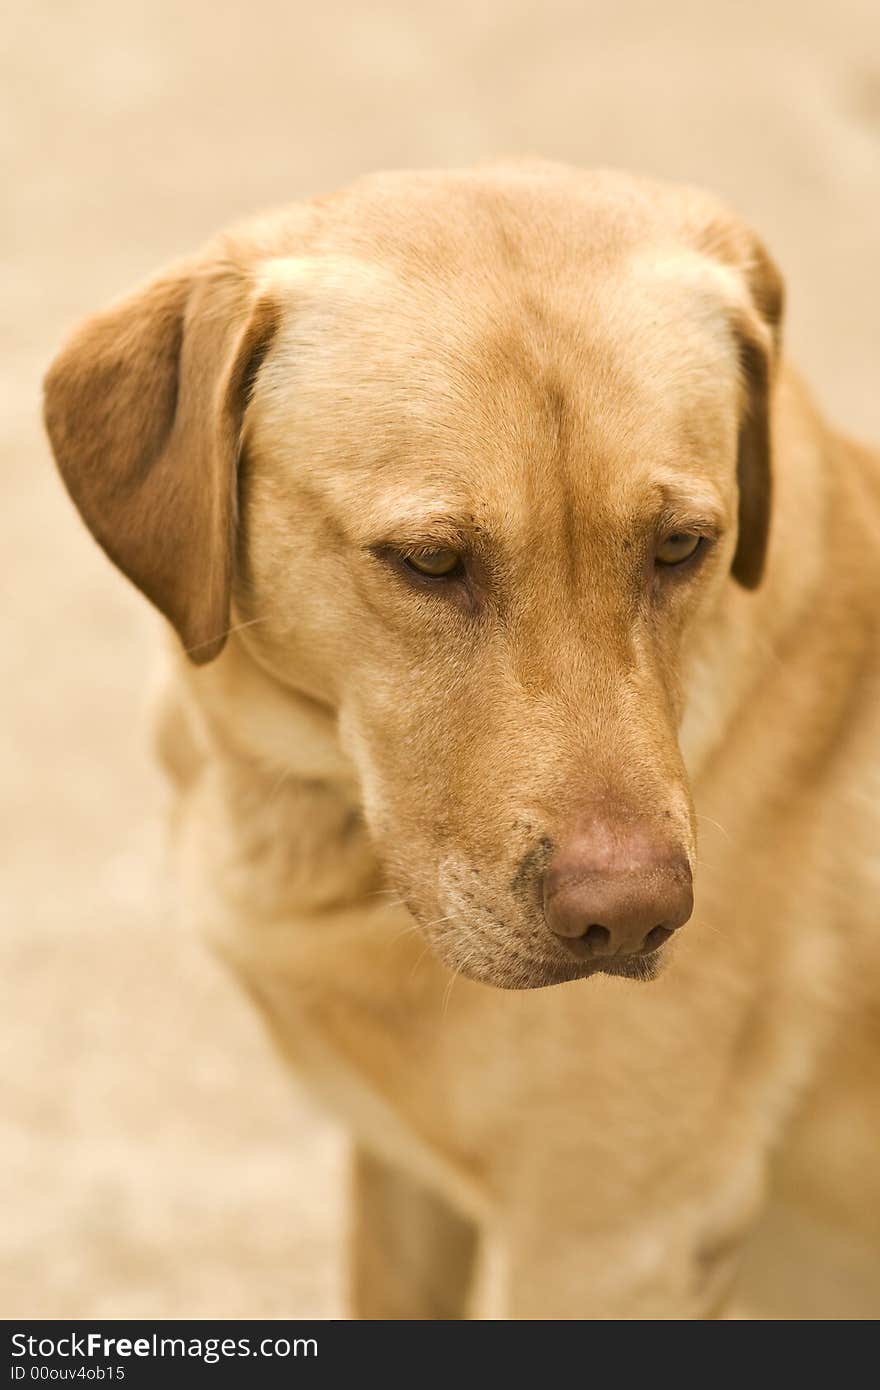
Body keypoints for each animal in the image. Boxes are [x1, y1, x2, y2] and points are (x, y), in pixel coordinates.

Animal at [42, 162, 878, 1312]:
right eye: (431, 561)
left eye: (681, 546)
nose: (633, 918)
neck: (307, 821)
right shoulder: (403, 1181)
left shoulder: (610, 1246)